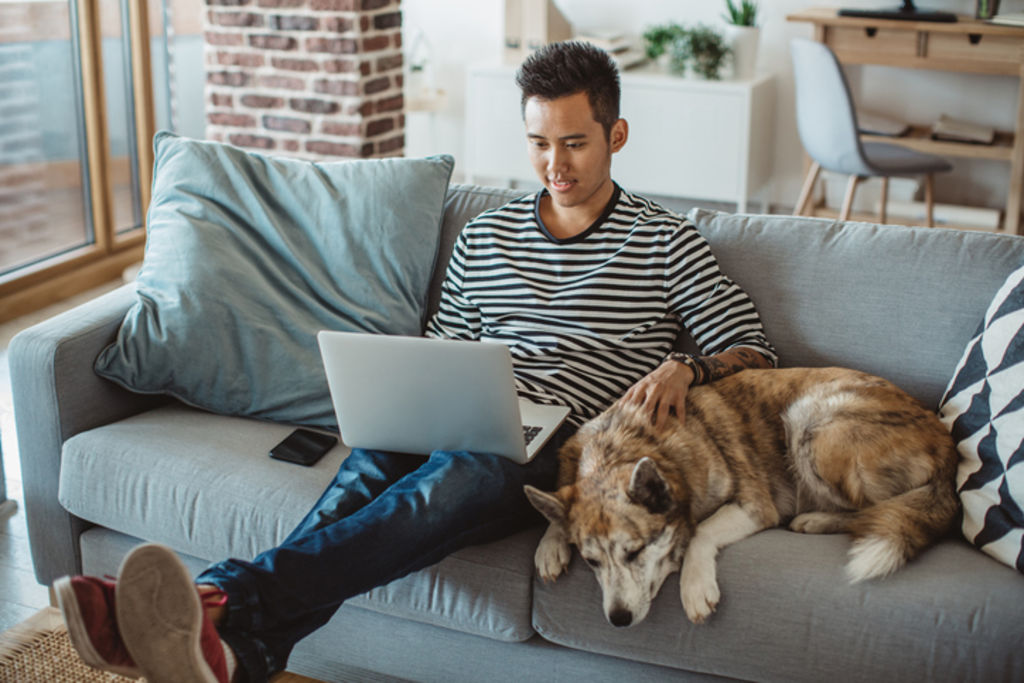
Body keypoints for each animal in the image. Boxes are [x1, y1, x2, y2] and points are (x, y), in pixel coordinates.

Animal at [528, 368, 958, 630]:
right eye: (591, 562)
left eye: (634, 552)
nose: (617, 619)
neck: (626, 445)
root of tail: (946, 443)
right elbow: (556, 508)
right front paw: (550, 544)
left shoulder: (754, 506)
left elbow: (701, 530)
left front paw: (695, 586)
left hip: (811, 420)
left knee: (871, 509)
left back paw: (814, 520)